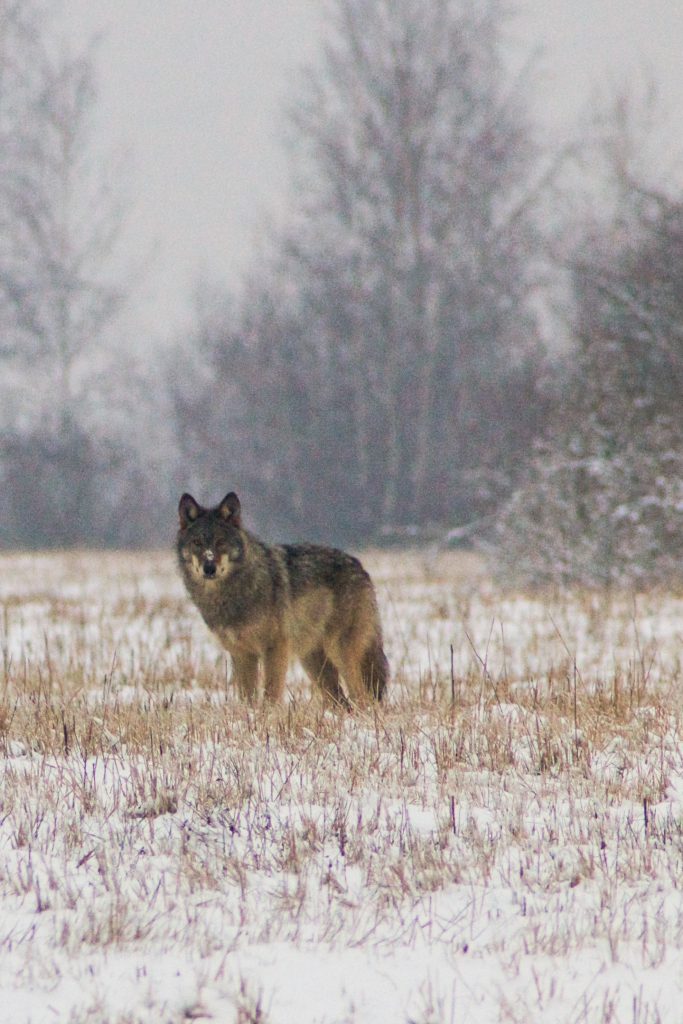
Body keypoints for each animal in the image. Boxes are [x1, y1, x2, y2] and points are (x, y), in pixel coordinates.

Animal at [176, 493, 389, 704]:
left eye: (221, 542)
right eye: (197, 543)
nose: (209, 568)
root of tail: (360, 566)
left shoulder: (275, 647)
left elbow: (271, 693)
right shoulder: (242, 654)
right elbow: (247, 698)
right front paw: (249, 714)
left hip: (340, 653)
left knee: (363, 698)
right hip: (314, 663)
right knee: (343, 703)